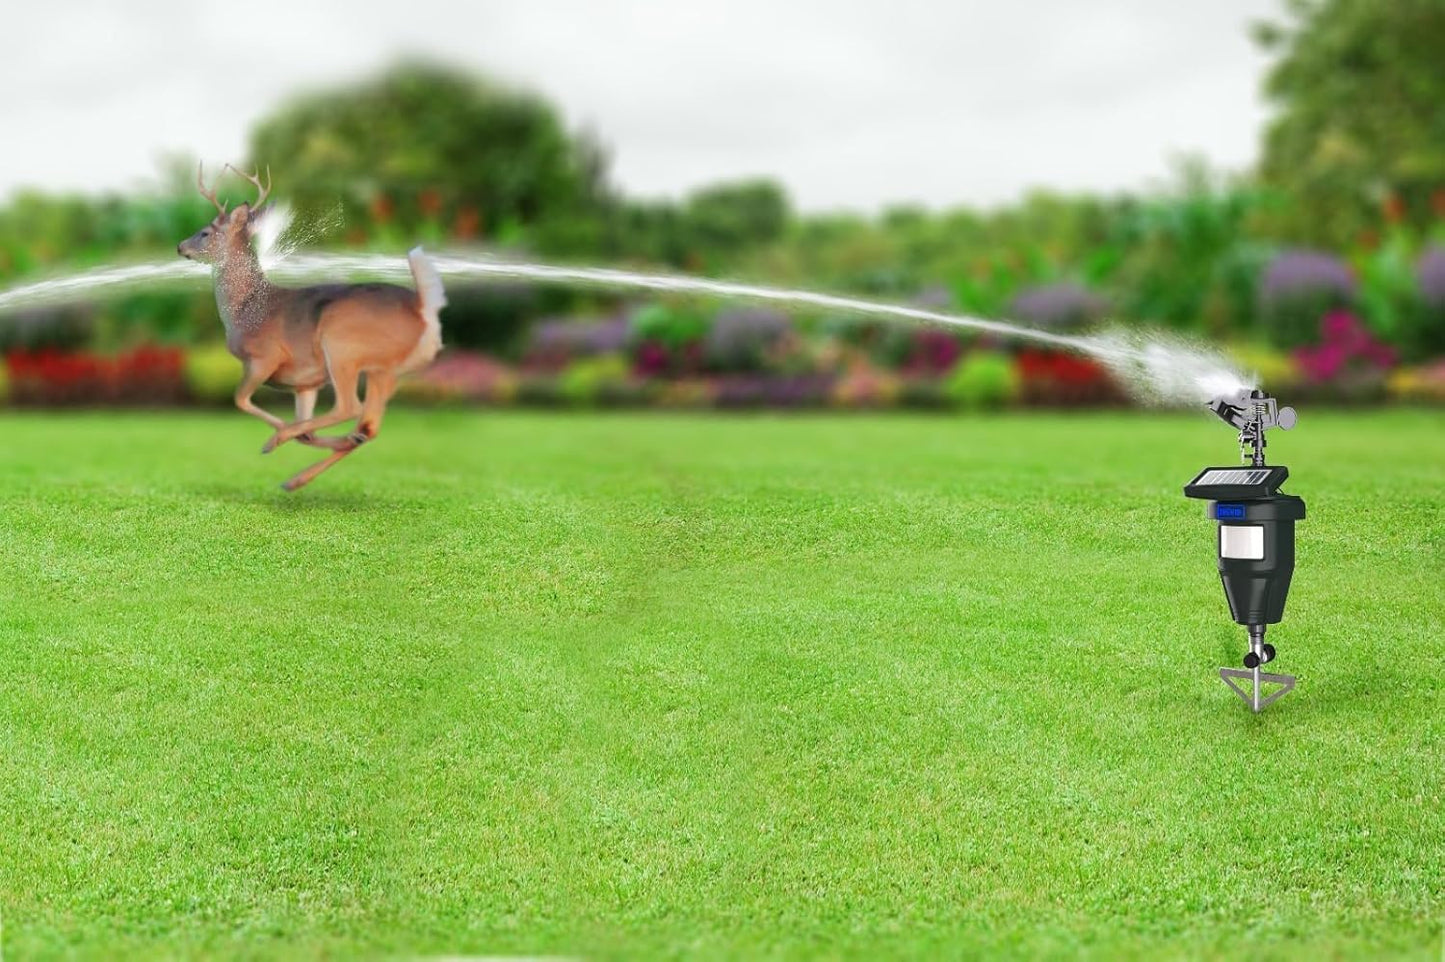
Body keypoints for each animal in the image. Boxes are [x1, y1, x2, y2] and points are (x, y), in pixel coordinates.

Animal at [177, 164, 447, 491]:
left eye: (205, 232)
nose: (180, 246)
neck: (245, 309)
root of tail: (423, 310)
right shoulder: (305, 383)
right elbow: (306, 431)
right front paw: (302, 438)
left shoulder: (264, 356)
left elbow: (240, 400)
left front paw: (275, 437)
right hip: (386, 370)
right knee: (368, 425)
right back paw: (302, 474)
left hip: (342, 345)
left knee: (349, 407)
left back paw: (283, 442)